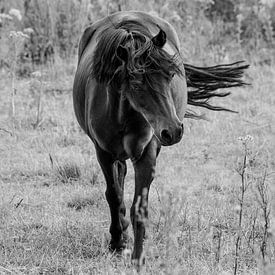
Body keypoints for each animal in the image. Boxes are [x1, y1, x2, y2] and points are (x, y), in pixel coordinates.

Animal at [72, 10, 249, 268]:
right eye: (136, 83)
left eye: (171, 75)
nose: (173, 130)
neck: (123, 112)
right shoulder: (102, 152)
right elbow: (113, 195)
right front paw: (117, 242)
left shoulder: (146, 153)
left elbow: (140, 207)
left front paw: (138, 257)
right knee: (119, 180)